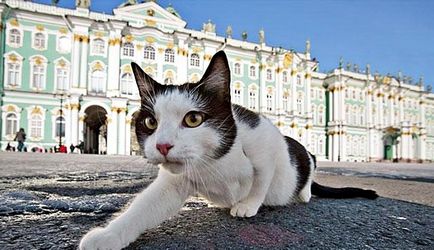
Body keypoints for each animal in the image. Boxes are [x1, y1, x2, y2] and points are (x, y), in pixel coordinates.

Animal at [79, 50, 376, 250]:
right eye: (151, 122)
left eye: (193, 119)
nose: (163, 145)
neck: (214, 161)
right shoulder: (173, 183)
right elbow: (142, 208)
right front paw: (109, 235)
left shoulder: (266, 140)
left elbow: (262, 179)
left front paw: (247, 205)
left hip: (298, 150)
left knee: (310, 162)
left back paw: (303, 193)